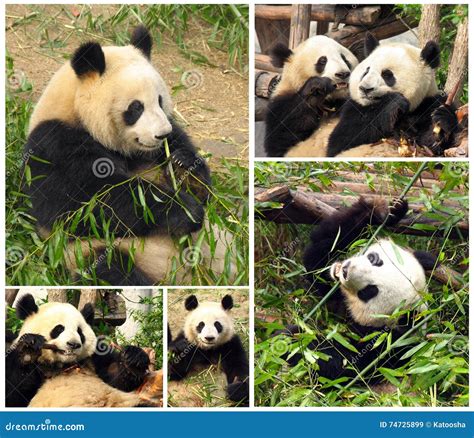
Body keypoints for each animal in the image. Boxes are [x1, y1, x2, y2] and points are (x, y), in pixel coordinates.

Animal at [6, 292, 153, 408]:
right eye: (59, 329)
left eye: (80, 332)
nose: (74, 344)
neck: (64, 365)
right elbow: (13, 394)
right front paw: (29, 349)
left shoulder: (94, 357)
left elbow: (116, 378)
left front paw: (133, 359)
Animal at [25, 26, 234, 288]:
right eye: (136, 107)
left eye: (160, 100)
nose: (161, 134)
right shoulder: (54, 145)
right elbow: (89, 201)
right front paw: (186, 209)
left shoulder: (169, 138)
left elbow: (202, 185)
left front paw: (183, 167)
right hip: (92, 252)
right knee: (111, 270)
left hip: (220, 247)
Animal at [278, 198, 436, 384]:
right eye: (374, 259)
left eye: (369, 291)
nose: (345, 270)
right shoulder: (333, 292)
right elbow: (317, 256)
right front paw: (388, 212)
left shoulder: (388, 346)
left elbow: (342, 365)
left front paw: (293, 337)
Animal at [326, 34, 460, 157]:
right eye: (366, 72)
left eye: (387, 75)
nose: (365, 89)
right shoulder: (354, 108)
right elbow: (342, 139)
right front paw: (393, 103)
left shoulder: (428, 104)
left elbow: (434, 148)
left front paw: (442, 121)